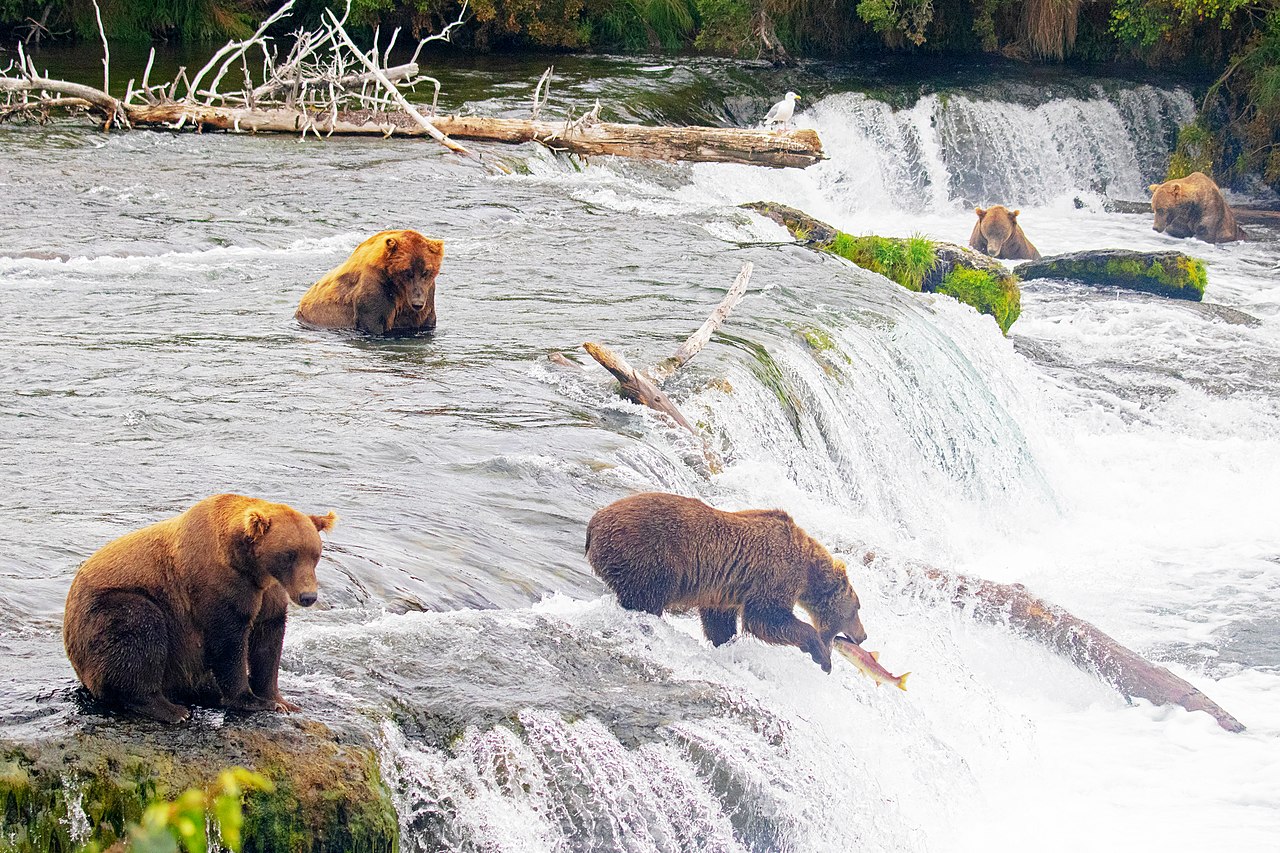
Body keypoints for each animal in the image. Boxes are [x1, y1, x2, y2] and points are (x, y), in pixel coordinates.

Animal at [64, 491, 335, 717]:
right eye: (289, 555)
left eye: (315, 554)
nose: (308, 596)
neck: (252, 569)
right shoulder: (217, 585)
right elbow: (229, 641)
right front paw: (251, 699)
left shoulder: (269, 593)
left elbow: (268, 640)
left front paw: (280, 700)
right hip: (111, 610)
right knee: (139, 632)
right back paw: (169, 709)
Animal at [295, 229, 445, 335]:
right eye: (407, 272)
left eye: (426, 272)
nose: (417, 303)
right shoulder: (377, 287)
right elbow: (373, 321)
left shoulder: (427, 294)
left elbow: (424, 320)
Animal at [586, 491, 870, 671]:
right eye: (856, 609)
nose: (864, 635)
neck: (809, 572)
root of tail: (594, 521)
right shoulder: (776, 573)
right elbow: (766, 618)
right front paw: (821, 656)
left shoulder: (725, 590)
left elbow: (719, 620)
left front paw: (726, 642)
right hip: (648, 556)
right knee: (645, 599)